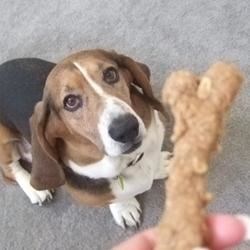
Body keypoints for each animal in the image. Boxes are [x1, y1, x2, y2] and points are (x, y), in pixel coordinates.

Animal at [0, 49, 171, 229]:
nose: (126, 129)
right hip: (4, 140)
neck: (128, 161)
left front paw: (160, 164)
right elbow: (115, 198)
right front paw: (124, 208)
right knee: (9, 169)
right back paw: (34, 189)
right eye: (70, 101)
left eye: (110, 74)